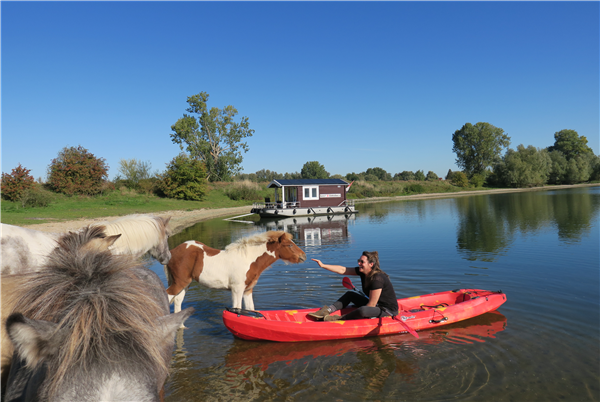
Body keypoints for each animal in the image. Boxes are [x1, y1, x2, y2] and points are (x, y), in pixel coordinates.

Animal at [164, 231, 304, 316]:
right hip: (179, 283)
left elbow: (250, 309)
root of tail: (172, 251)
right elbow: (237, 308)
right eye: (289, 245)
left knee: (178, 301)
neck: (248, 259)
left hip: (184, 284)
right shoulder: (237, 289)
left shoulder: (248, 290)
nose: (303, 256)